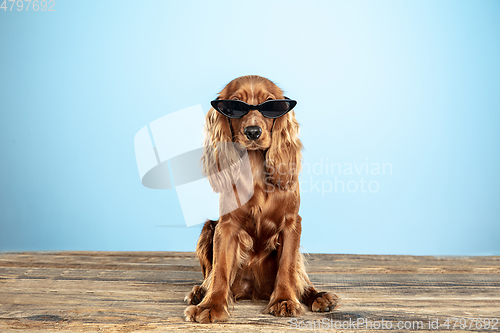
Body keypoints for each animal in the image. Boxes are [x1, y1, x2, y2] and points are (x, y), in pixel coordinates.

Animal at [184, 74, 340, 322]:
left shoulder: (291, 222)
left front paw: (284, 300)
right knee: (210, 273)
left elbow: (287, 266)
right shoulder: (226, 225)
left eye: (270, 105)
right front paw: (211, 305)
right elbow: (220, 269)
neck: (255, 168)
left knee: (299, 277)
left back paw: (318, 296)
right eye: (234, 106)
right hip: (208, 228)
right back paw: (199, 292)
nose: (253, 132)